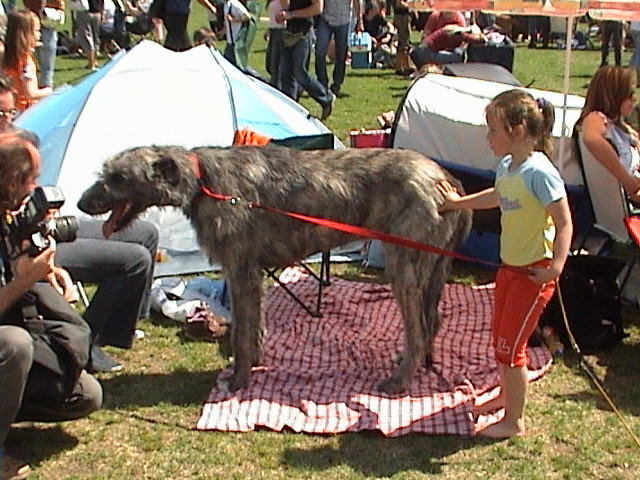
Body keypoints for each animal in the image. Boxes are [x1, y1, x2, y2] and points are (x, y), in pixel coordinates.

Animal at [77, 145, 472, 394]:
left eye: (119, 178)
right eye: (107, 172)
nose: (80, 202)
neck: (204, 182)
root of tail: (448, 182)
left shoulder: (241, 269)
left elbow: (241, 331)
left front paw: (238, 381)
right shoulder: (250, 272)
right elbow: (252, 326)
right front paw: (254, 363)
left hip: (402, 261)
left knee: (418, 327)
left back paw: (400, 380)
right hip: (431, 265)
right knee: (431, 320)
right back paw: (419, 365)